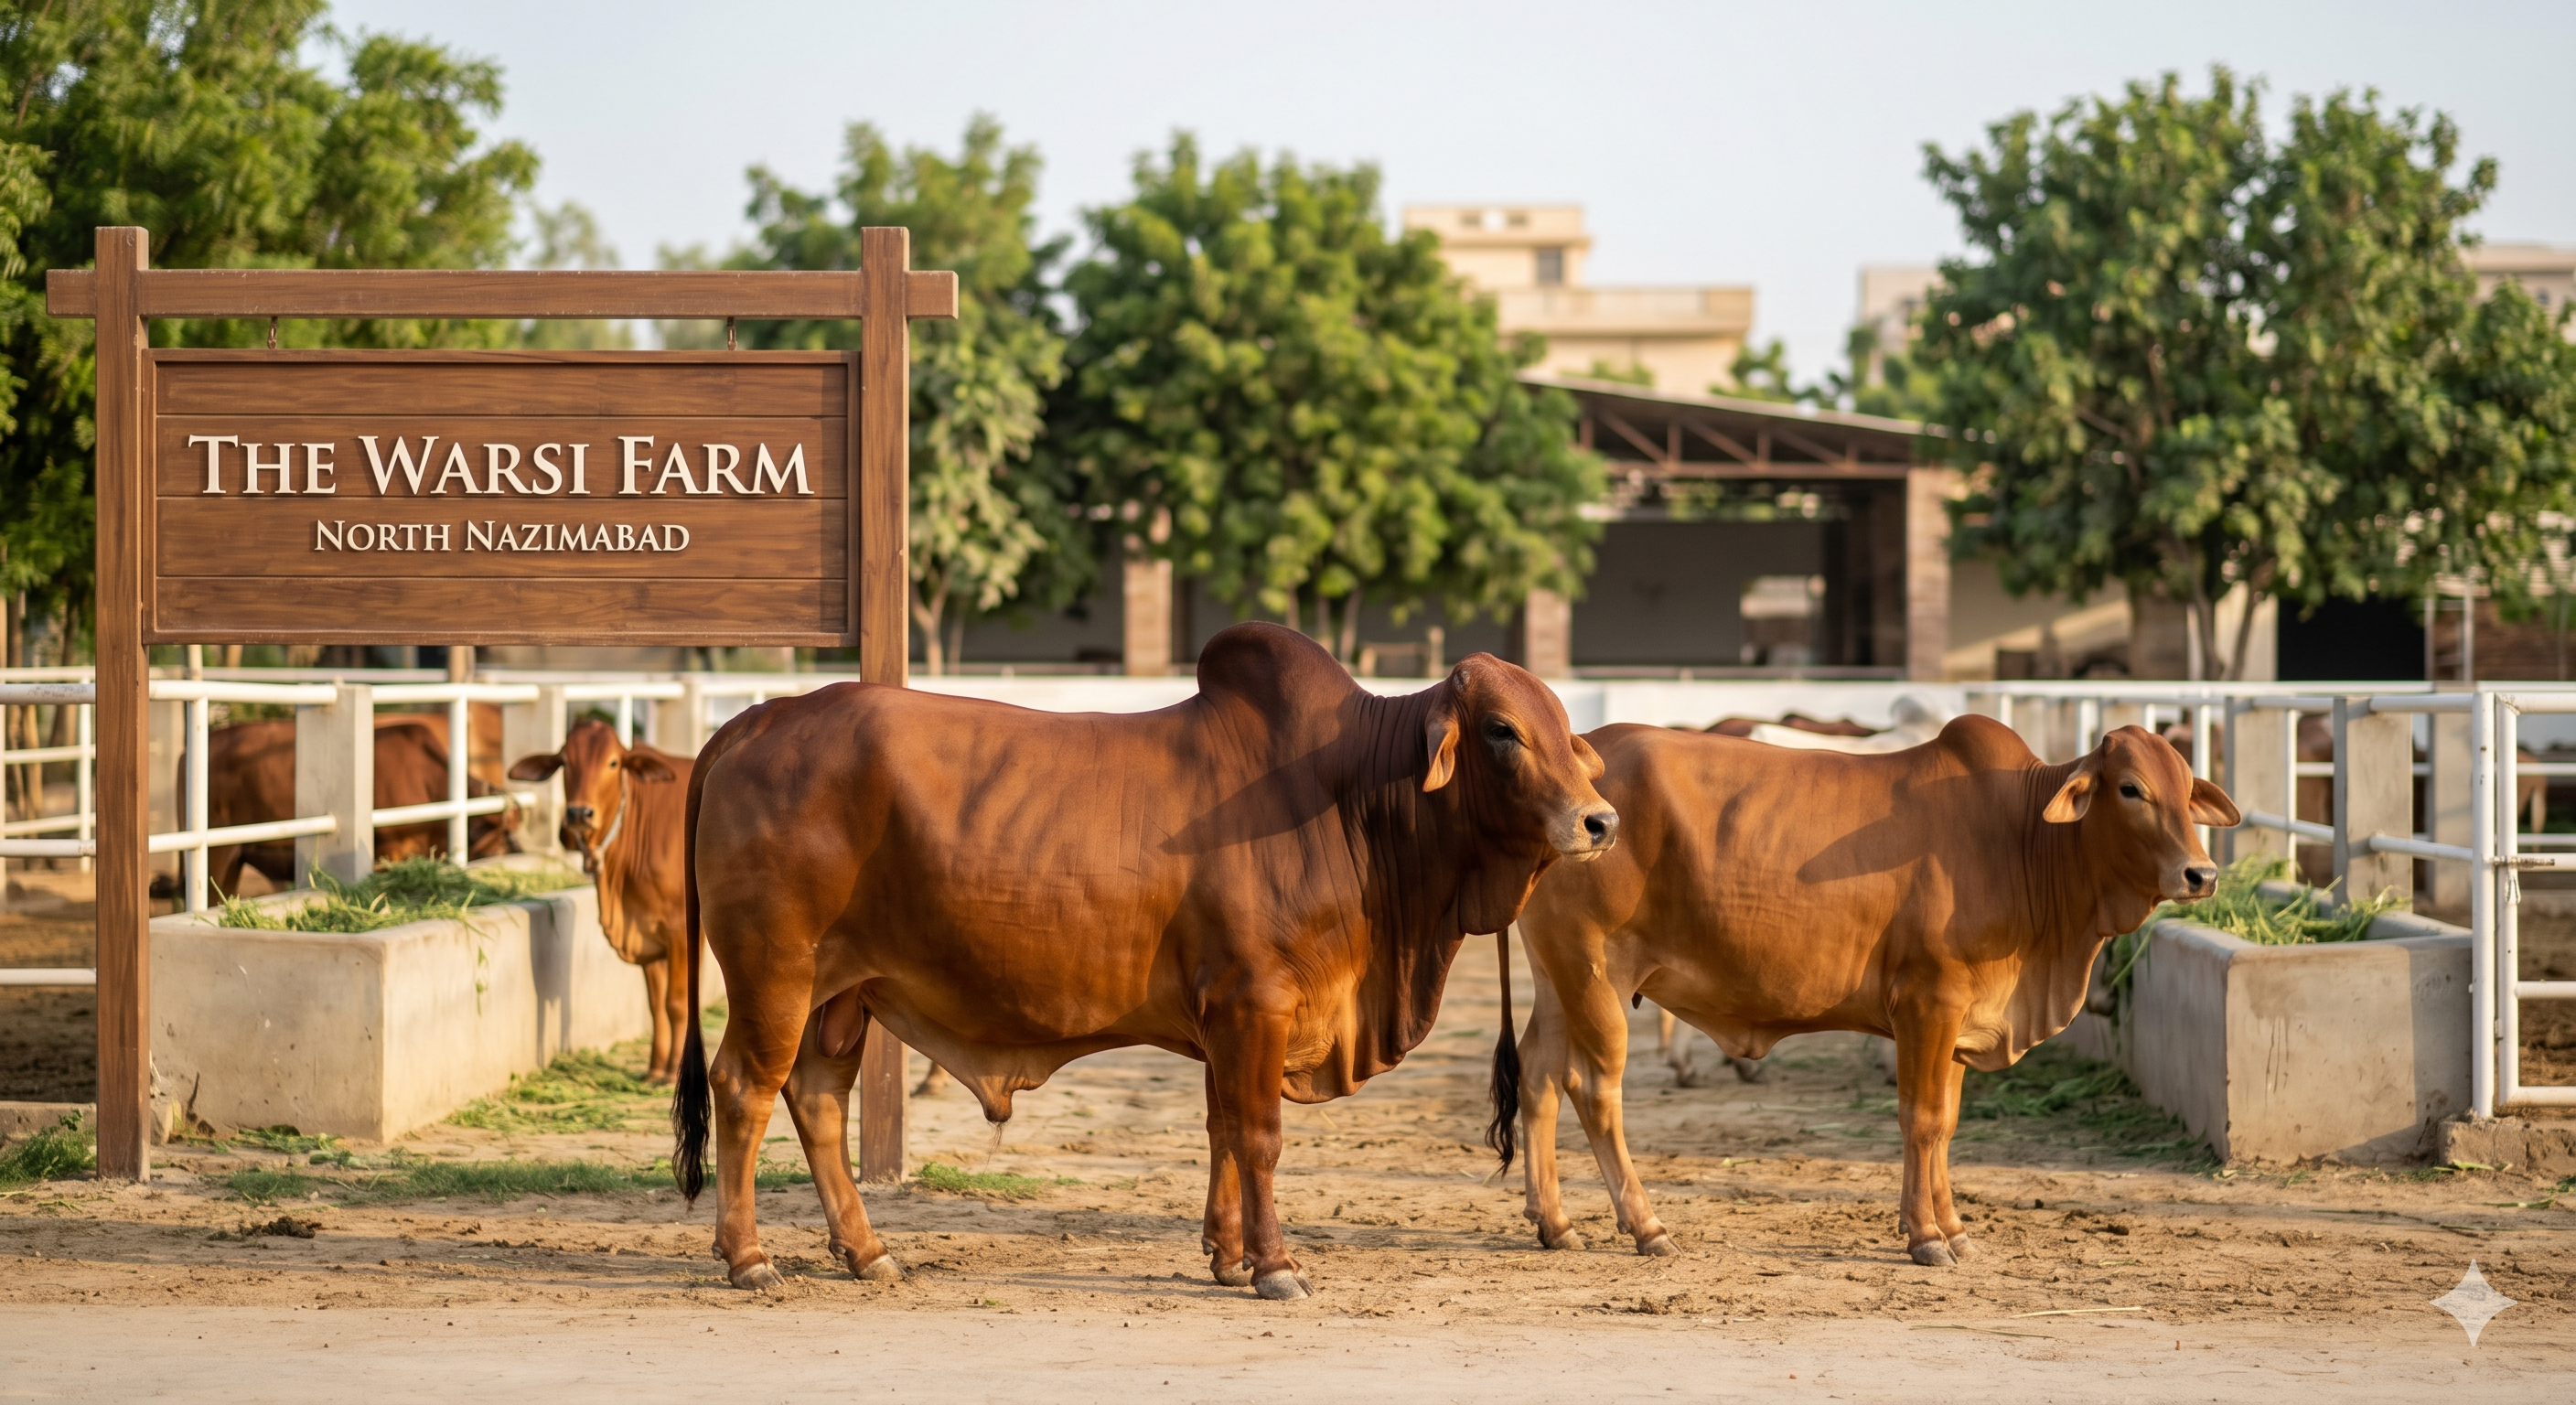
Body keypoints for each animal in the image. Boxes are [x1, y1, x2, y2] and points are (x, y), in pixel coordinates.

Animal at [506, 721, 694, 1083]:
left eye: (613, 763)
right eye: (565, 761)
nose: (579, 813)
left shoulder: (680, 930)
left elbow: (677, 1002)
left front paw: (672, 1073)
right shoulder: (645, 931)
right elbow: (655, 1004)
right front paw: (655, 1068)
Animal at [670, 623, 1618, 1299]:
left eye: (1567, 732)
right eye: (1502, 730)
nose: (1600, 821)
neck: (1352, 801)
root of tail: (756, 718)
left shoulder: (1225, 1018)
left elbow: (1223, 1130)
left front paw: (1228, 1258)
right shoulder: (1255, 1002)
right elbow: (1260, 1137)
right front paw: (1277, 1267)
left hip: (842, 995)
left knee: (817, 1100)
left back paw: (867, 1251)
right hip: (775, 975)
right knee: (745, 1089)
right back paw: (749, 1258)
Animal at [1499, 717, 2237, 1267]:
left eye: (2187, 788)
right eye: (2131, 789)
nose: (2200, 874)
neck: (2023, 838)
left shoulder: (1962, 1020)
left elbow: (1947, 1124)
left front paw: (1955, 1228)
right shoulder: (1929, 1002)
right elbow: (1922, 1120)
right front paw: (1927, 1237)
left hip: (1558, 976)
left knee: (1538, 1076)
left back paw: (1554, 1223)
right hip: (1596, 972)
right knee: (1595, 1089)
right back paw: (1647, 1226)